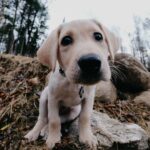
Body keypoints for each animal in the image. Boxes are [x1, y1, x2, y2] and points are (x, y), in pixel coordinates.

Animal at [25, 19, 120, 149]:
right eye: (66, 40)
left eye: (98, 36)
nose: (90, 62)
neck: (73, 84)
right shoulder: (53, 99)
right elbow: (54, 120)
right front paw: (53, 139)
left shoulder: (88, 99)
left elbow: (84, 117)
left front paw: (86, 137)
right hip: (45, 97)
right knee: (43, 118)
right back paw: (34, 133)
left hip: (73, 112)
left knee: (56, 119)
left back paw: (46, 130)